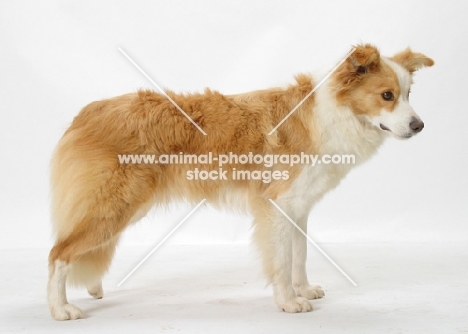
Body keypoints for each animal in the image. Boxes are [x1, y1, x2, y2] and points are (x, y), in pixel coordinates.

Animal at [48, 43, 436, 320]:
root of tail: (85, 113)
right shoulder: (276, 206)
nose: (419, 126)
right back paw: (59, 309)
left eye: (408, 95)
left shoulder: (299, 207)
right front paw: (288, 302)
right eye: (386, 95)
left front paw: (303, 289)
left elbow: (299, 256)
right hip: (116, 203)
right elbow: (281, 261)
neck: (330, 114)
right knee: (58, 253)